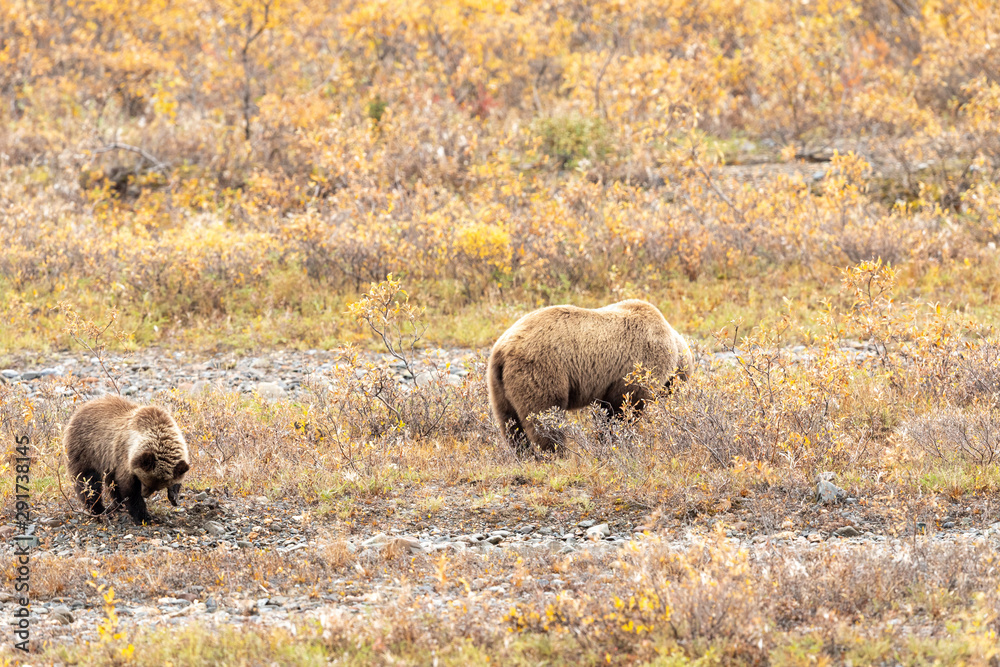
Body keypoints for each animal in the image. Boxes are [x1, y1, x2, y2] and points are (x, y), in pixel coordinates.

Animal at [64, 395, 190, 525]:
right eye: (145, 481)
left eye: (158, 487)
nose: (145, 494)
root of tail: (78, 411)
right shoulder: (125, 458)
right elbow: (129, 489)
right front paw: (145, 517)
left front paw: (174, 496)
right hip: (86, 449)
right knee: (88, 482)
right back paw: (101, 511)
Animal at [487, 299, 692, 452]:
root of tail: (503, 349)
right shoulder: (638, 365)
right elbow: (623, 409)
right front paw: (617, 441)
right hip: (541, 370)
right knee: (545, 414)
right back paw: (557, 452)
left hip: (499, 384)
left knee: (510, 422)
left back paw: (522, 452)